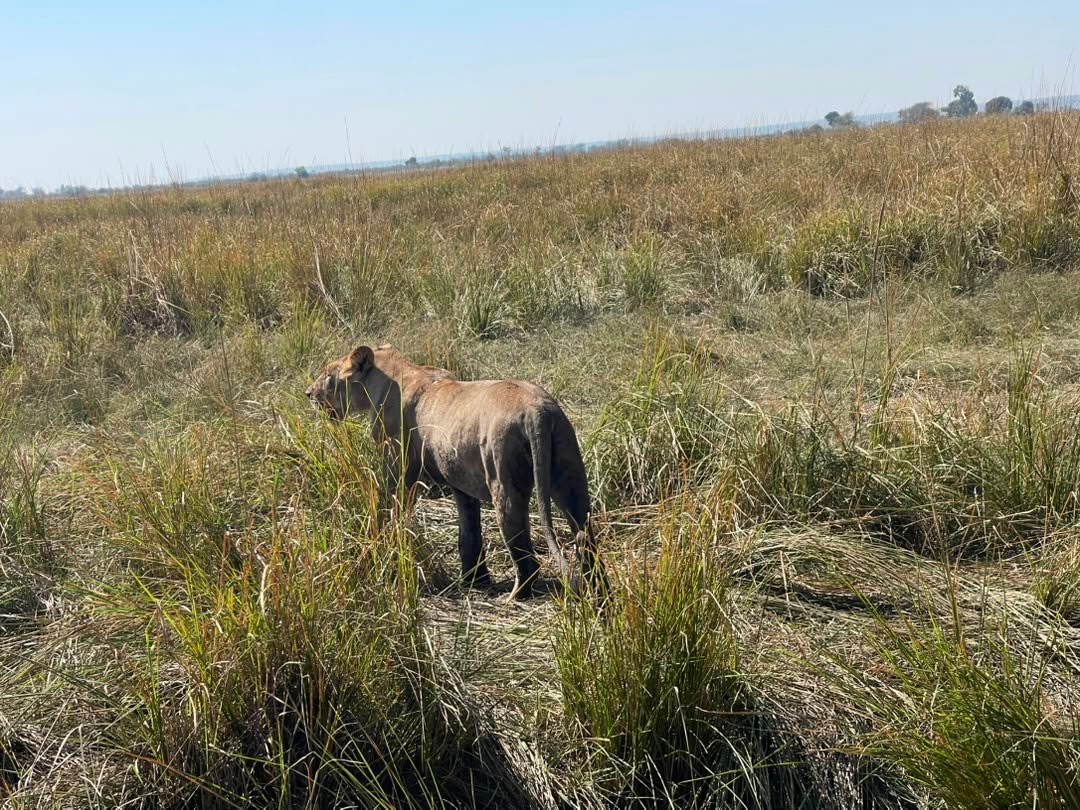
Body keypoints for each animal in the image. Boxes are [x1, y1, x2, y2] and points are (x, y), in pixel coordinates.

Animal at [306, 344, 603, 598]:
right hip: (570, 475)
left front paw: (389, 547)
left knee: (523, 551)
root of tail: (537, 412)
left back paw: (515, 597)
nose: (308, 393)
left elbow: (392, 510)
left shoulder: (399, 469)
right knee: (586, 539)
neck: (393, 373)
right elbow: (469, 533)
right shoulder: (461, 483)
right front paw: (474, 580)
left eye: (328, 375)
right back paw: (599, 591)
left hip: (504, 479)